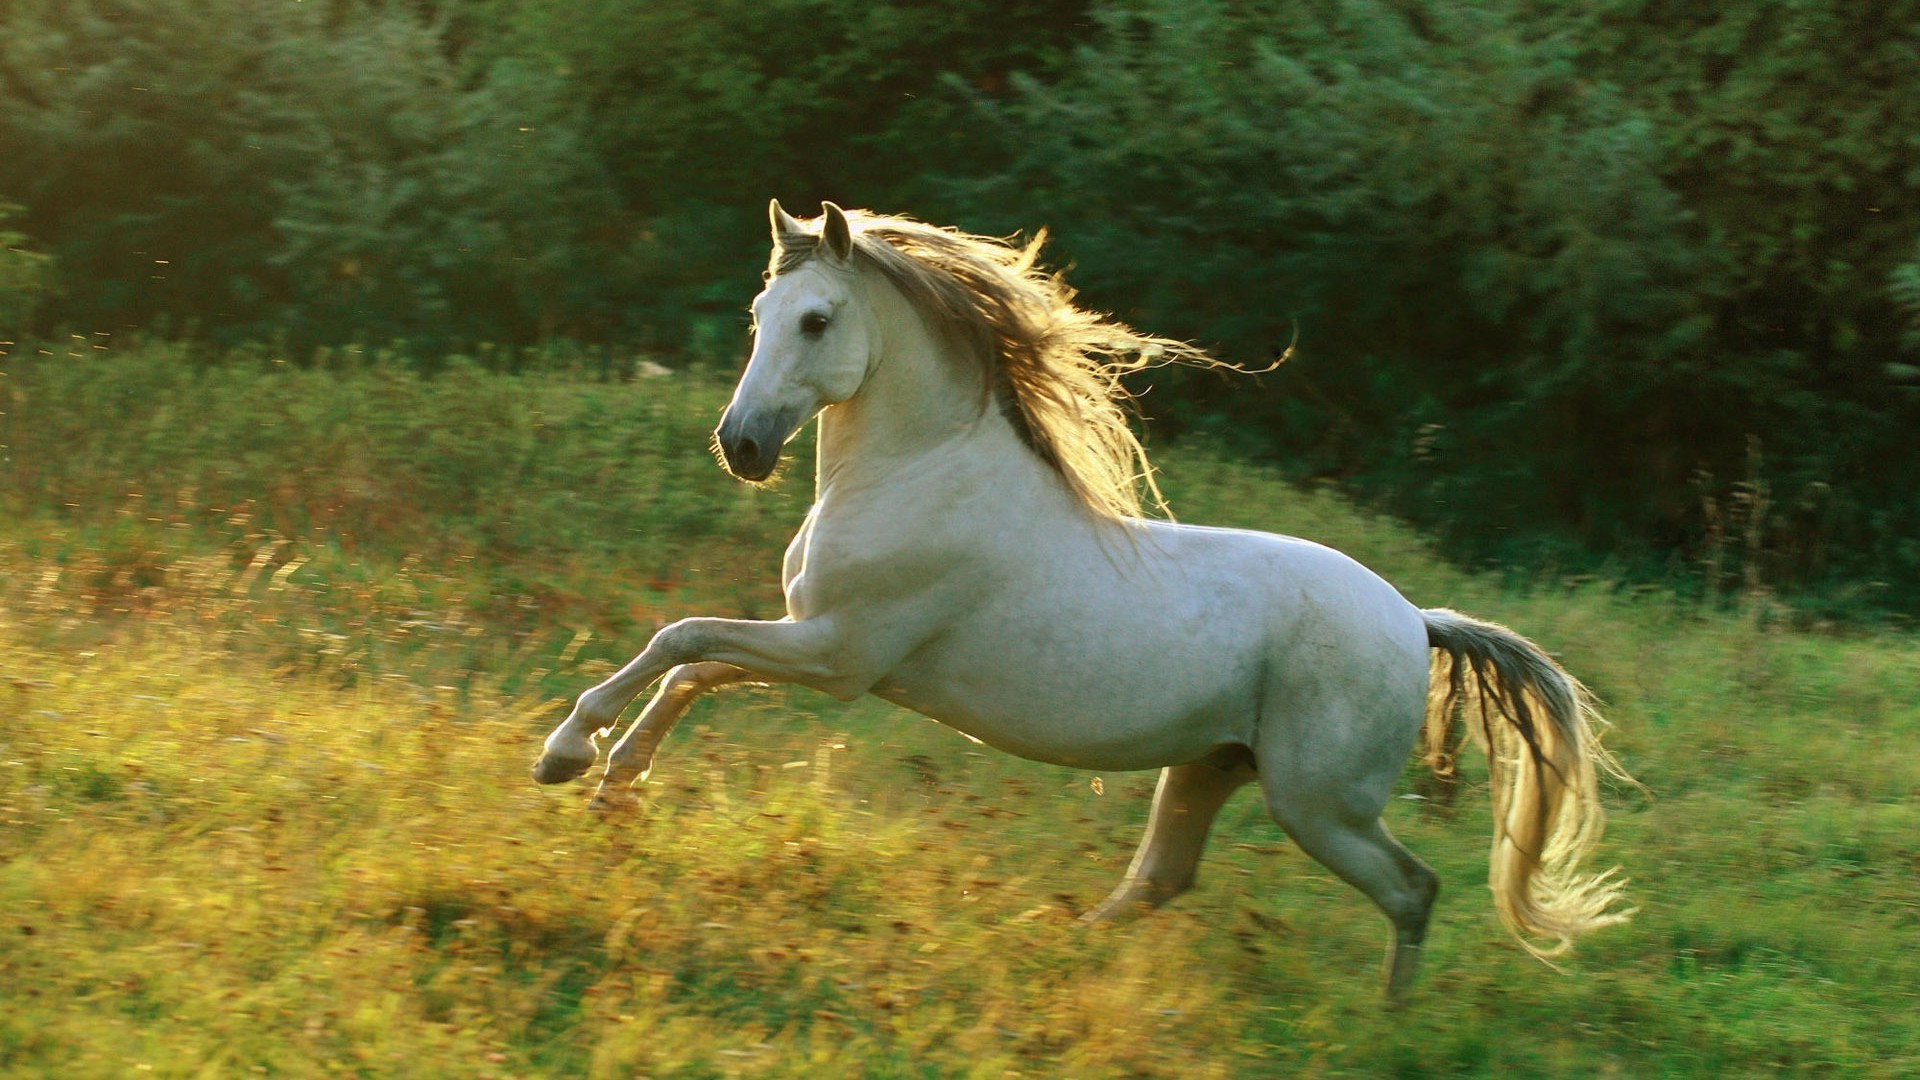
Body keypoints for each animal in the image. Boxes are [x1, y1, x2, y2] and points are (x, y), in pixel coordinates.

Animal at [529, 199, 1635, 991]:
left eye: (815, 319)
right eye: (759, 317)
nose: (742, 446)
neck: (919, 472)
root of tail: (1417, 620)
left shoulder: (839, 655)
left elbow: (682, 641)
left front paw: (567, 754)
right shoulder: (816, 643)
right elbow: (692, 667)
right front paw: (611, 783)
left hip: (1319, 803)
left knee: (1412, 889)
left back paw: (1386, 1021)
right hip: (1213, 766)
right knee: (1162, 879)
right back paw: (1047, 947)